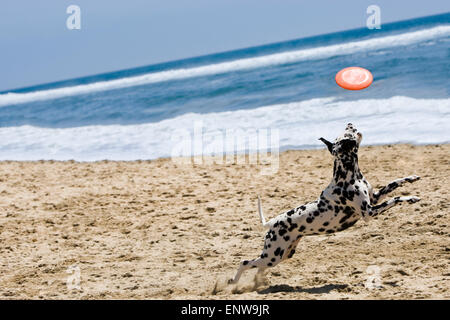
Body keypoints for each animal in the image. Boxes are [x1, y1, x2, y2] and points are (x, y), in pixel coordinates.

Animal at [230, 124, 420, 284]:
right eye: (345, 135)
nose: (349, 123)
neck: (349, 176)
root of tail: (272, 222)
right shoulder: (369, 212)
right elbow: (395, 199)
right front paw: (412, 197)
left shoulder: (375, 198)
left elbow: (395, 183)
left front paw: (412, 178)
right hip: (272, 255)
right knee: (244, 262)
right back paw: (234, 281)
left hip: (281, 256)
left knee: (257, 267)